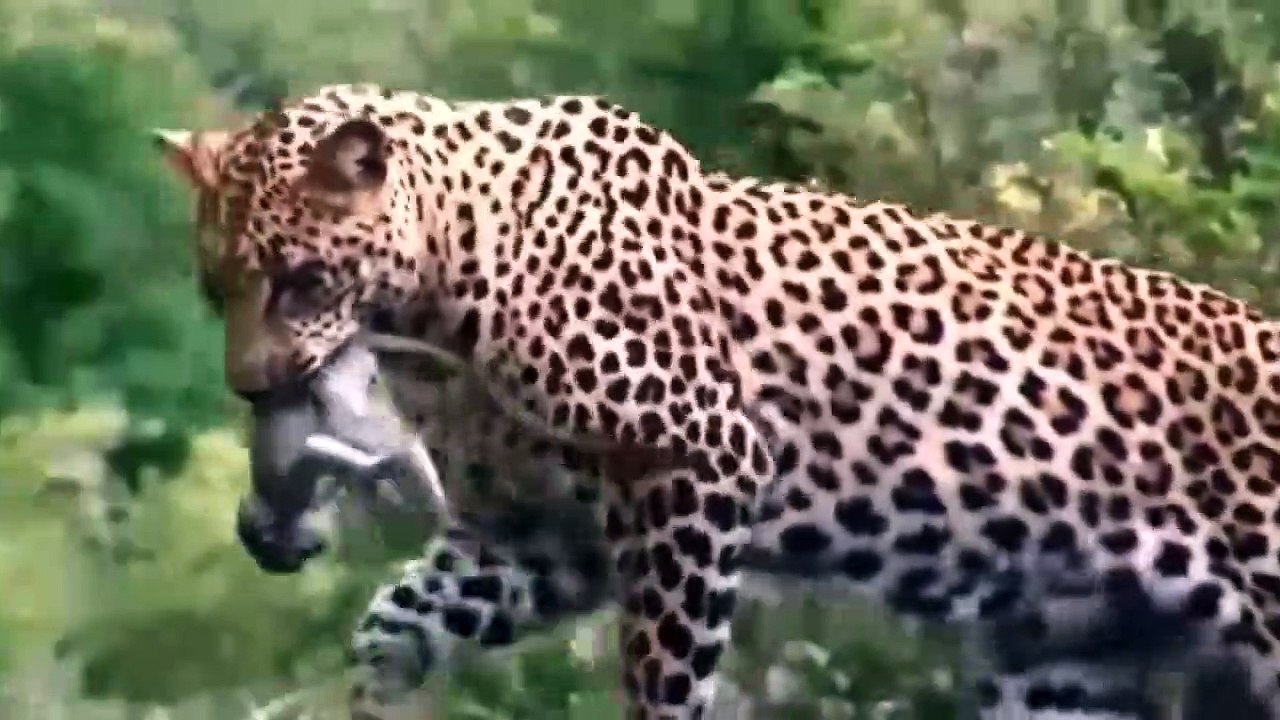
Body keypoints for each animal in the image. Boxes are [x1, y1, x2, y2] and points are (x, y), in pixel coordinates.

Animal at [152, 81, 1280, 720]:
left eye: (301, 282)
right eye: (216, 291)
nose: (252, 386)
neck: (436, 307)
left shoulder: (692, 467)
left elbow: (664, 667)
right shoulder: (538, 534)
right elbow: (398, 619)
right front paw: (372, 694)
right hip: (1069, 668)